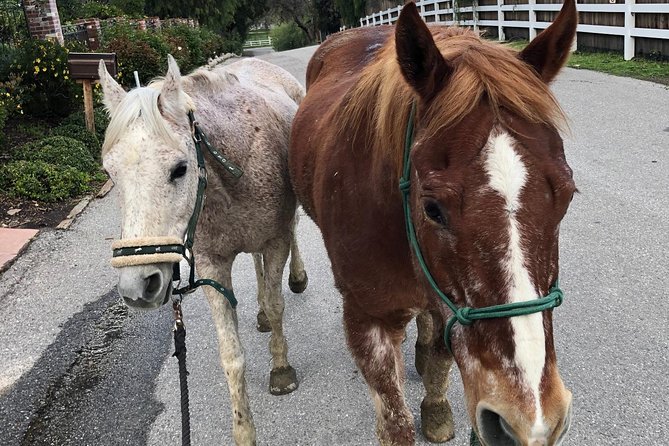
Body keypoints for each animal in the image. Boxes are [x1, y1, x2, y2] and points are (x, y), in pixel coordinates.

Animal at [98, 55, 309, 445]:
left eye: (179, 169)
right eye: (111, 174)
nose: (137, 287)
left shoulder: (276, 242)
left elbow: (277, 308)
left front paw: (281, 369)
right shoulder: (212, 266)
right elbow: (231, 353)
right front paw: (243, 430)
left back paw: (297, 278)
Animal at [290, 1, 577, 445]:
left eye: (566, 195)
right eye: (432, 208)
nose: (527, 419)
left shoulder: (447, 307)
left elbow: (442, 359)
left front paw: (436, 405)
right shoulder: (366, 320)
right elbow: (394, 418)